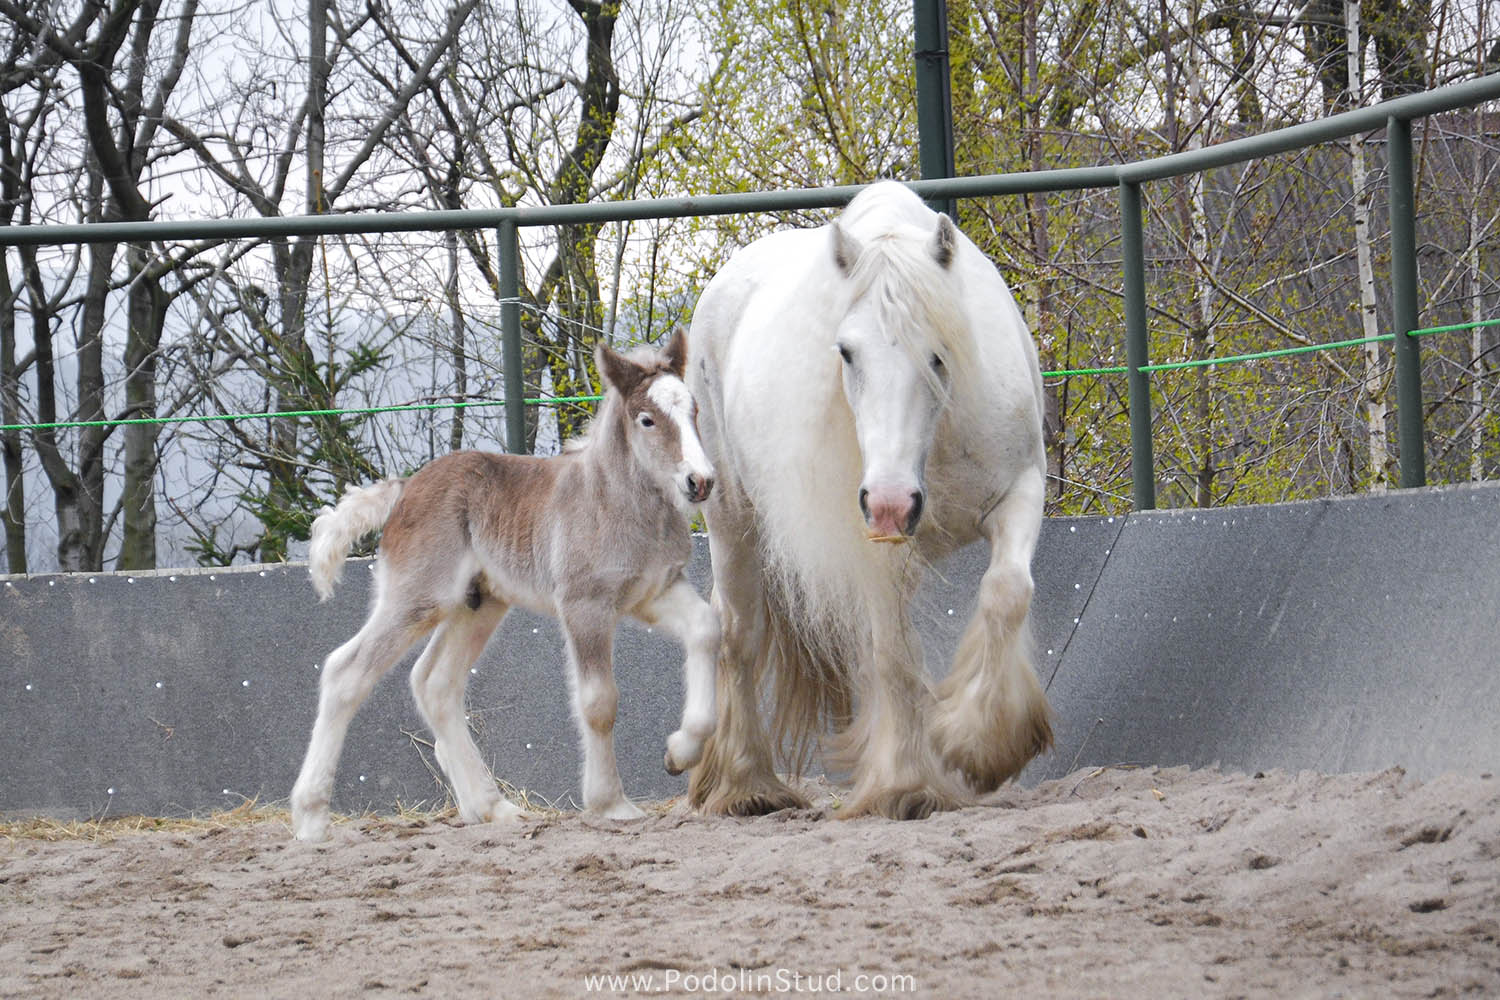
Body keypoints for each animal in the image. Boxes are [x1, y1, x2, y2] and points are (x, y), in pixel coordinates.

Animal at [291, 332, 720, 839]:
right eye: (647, 419)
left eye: (694, 410)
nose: (700, 481)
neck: (619, 503)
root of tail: (404, 489)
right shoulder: (585, 605)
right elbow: (599, 702)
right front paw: (610, 803)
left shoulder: (655, 592)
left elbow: (706, 629)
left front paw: (680, 752)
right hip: (418, 598)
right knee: (346, 672)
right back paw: (312, 818)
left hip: (477, 605)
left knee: (435, 683)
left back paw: (492, 807)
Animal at [687, 179, 1050, 821]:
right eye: (847, 353)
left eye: (939, 352)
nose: (892, 502)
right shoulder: (874, 549)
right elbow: (893, 658)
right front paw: (904, 785)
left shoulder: (1022, 491)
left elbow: (1007, 593)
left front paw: (982, 745)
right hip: (732, 520)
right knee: (739, 634)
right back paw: (747, 785)